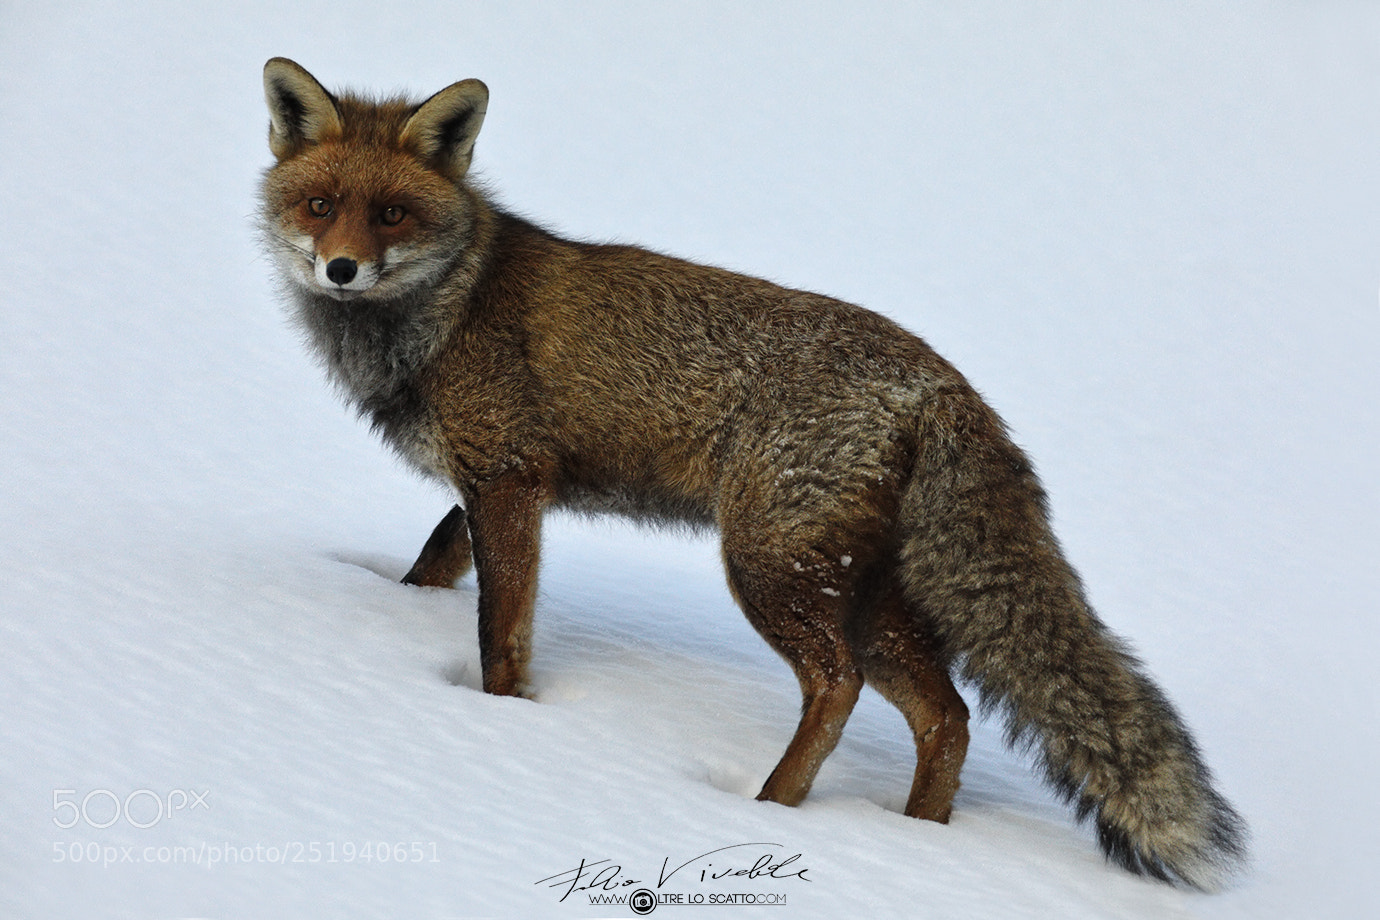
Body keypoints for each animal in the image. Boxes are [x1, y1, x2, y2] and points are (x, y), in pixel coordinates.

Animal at [259, 57, 1247, 890]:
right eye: (319, 204)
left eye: (392, 215)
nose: (341, 269)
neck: (448, 308)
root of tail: (943, 383)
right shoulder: (491, 488)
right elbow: (432, 565)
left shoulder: (508, 477)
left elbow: (501, 634)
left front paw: (499, 721)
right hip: (863, 592)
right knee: (948, 717)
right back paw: (914, 842)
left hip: (771, 567)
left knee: (839, 686)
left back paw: (770, 813)